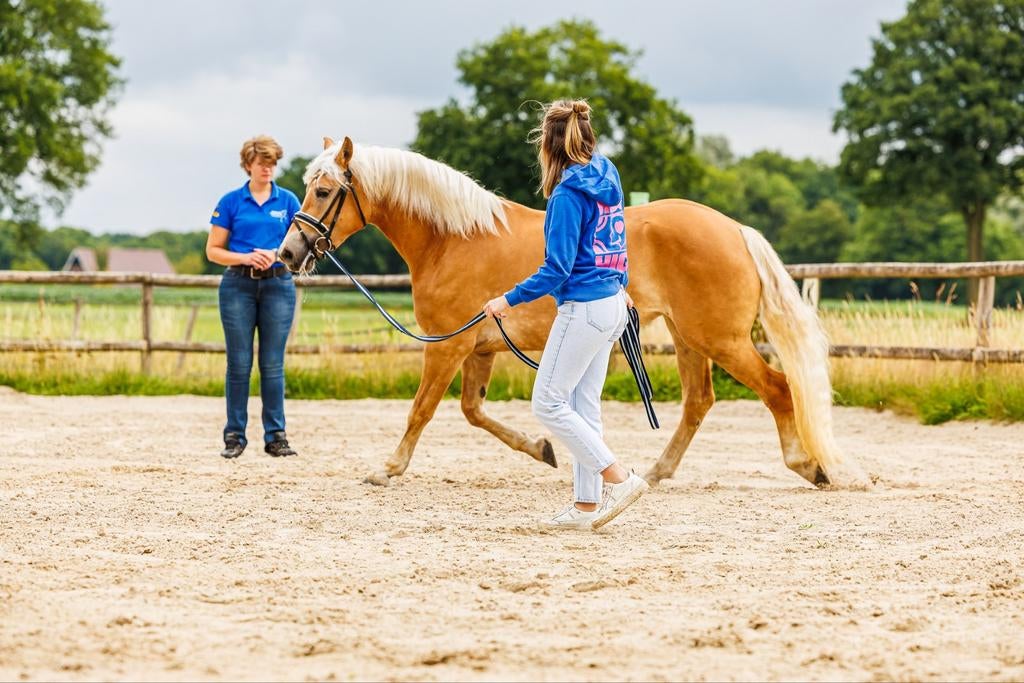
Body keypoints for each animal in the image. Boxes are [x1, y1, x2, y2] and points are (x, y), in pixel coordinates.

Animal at [277, 136, 869, 490]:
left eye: (324, 190)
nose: (287, 253)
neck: (454, 240)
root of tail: (734, 229)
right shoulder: (479, 347)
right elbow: (474, 412)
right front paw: (542, 448)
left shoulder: (449, 345)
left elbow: (421, 410)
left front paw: (388, 468)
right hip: (689, 338)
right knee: (700, 402)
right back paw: (657, 472)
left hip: (719, 339)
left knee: (776, 388)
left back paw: (808, 465)